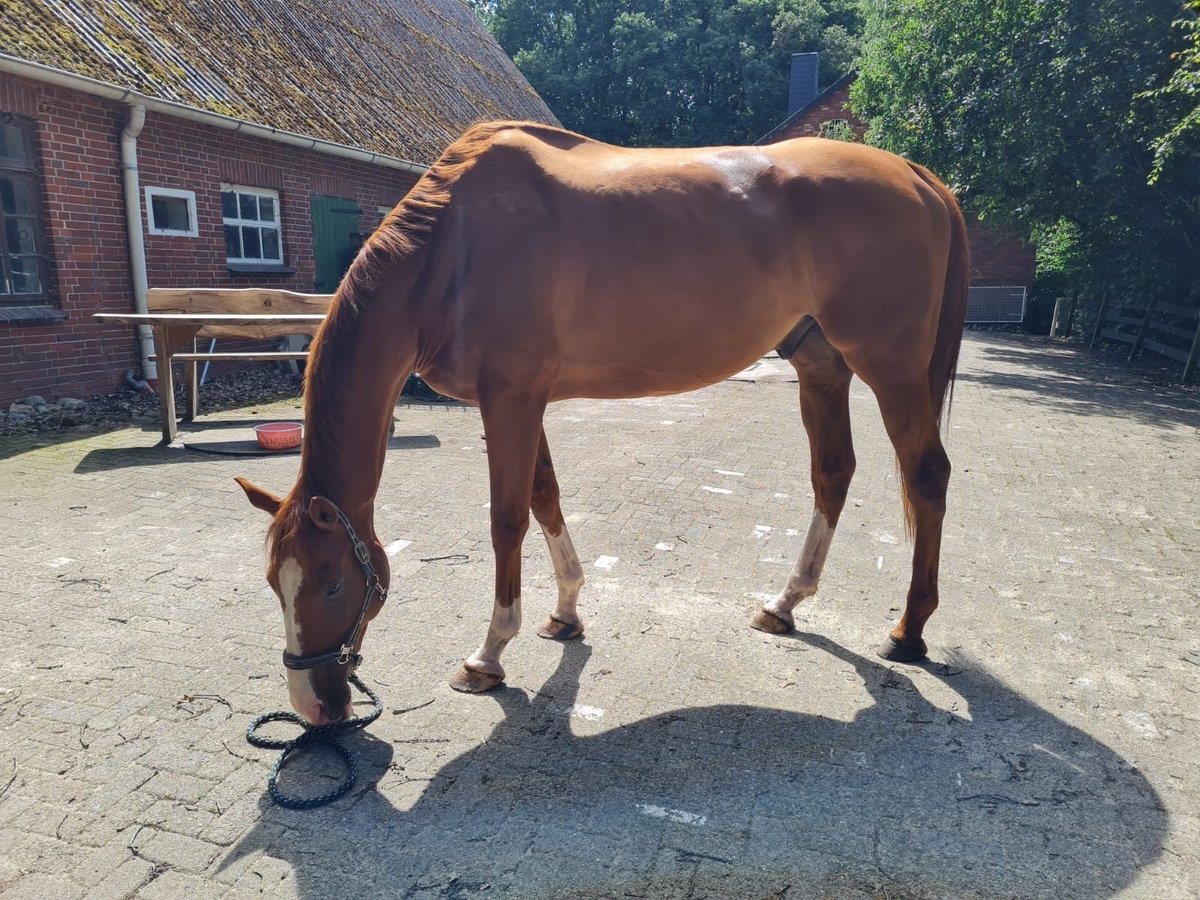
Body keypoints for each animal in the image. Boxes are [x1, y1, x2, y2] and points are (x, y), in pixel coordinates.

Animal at [231, 121, 964, 724]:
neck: (450, 249)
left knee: (927, 475)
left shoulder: (510, 400)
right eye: (273, 584)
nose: (314, 706)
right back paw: (784, 605)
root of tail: (916, 175)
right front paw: (565, 613)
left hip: (889, 366)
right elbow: (544, 496)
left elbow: (506, 519)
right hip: (822, 365)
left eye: (331, 581)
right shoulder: (522, 401)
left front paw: (488, 655)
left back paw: (909, 630)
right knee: (832, 472)